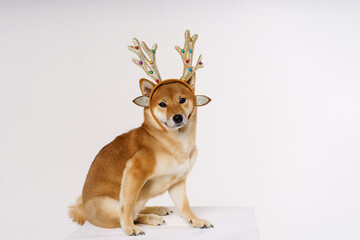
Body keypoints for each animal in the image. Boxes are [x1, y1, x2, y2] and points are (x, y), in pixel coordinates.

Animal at [69, 30, 212, 236]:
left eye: (182, 99)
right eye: (162, 104)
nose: (177, 117)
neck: (172, 143)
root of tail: (84, 211)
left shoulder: (178, 181)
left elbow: (185, 206)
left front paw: (196, 221)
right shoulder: (134, 172)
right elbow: (127, 206)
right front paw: (129, 229)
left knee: (137, 210)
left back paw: (157, 209)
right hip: (105, 203)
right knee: (127, 214)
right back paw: (147, 219)